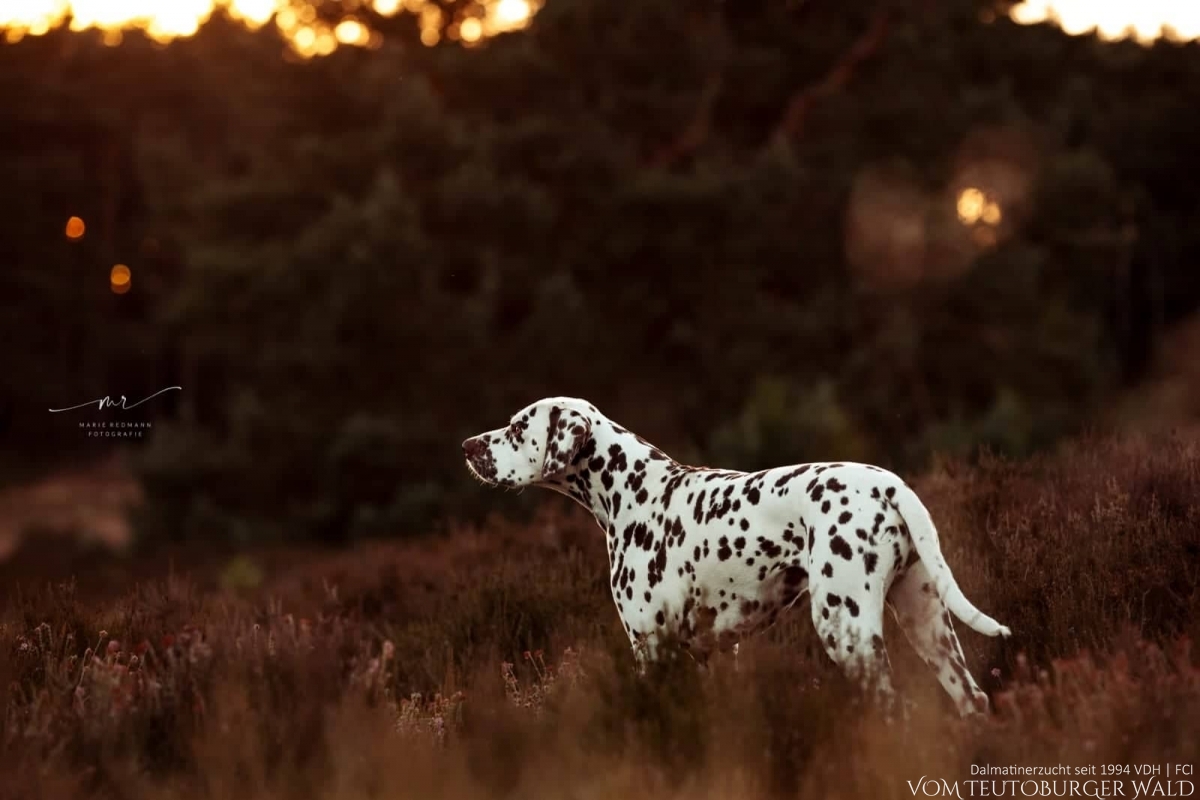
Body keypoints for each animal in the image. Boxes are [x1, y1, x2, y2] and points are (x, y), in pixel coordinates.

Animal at [463, 398, 1008, 714]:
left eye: (517, 428)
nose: (467, 445)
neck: (635, 491)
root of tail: (889, 485)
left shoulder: (650, 647)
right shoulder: (713, 654)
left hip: (844, 625)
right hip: (926, 622)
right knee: (973, 699)